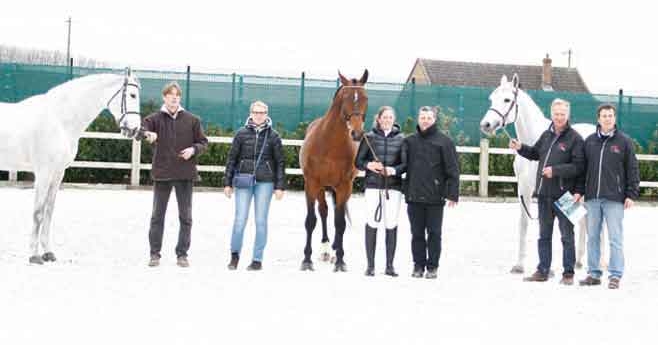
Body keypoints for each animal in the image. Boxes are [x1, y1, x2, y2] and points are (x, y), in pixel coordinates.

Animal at [0, 70, 142, 264]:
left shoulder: (58, 173)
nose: (135, 129)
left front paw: (48, 253)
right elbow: (38, 213)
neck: (59, 119)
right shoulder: (43, 173)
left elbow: (49, 212)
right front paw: (34, 256)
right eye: (133, 95)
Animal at [298, 69, 366, 272]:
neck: (329, 144)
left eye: (365, 97)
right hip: (321, 188)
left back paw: (335, 248)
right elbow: (311, 220)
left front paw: (341, 260)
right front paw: (307, 259)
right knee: (324, 211)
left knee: (337, 213)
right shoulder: (311, 184)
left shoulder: (345, 186)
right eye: (346, 98)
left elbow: (340, 223)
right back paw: (326, 248)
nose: (357, 133)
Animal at [476, 74, 604, 272]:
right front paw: (519, 265)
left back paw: (600, 263)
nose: (486, 124)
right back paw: (579, 261)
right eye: (492, 98)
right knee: (584, 222)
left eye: (507, 100)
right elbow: (524, 224)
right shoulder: (523, 190)